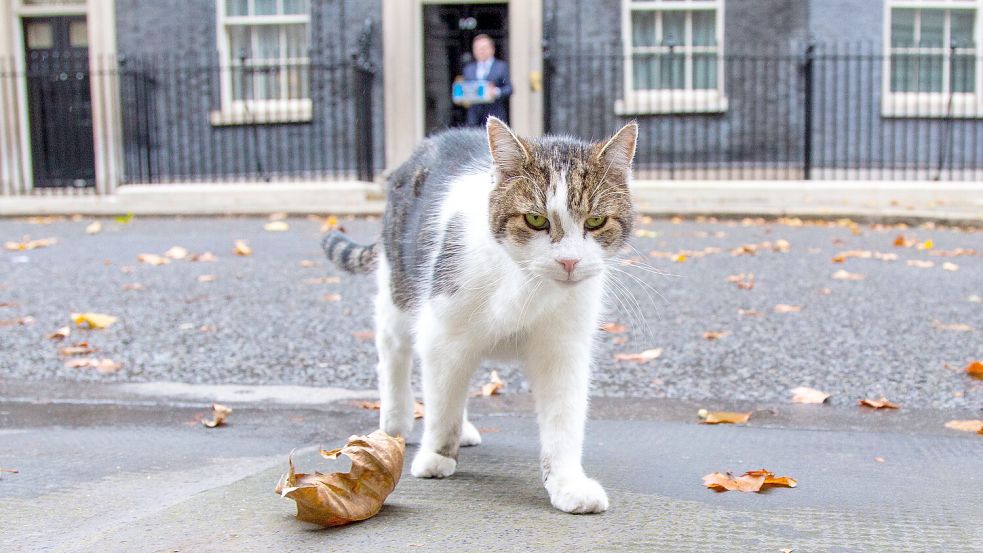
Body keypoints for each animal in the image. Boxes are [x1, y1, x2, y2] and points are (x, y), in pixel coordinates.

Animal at [322, 117, 640, 512]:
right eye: (535, 219)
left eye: (596, 221)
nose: (569, 261)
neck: (526, 286)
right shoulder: (441, 330)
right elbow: (442, 404)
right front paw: (437, 455)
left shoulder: (563, 348)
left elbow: (564, 419)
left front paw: (567, 483)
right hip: (398, 289)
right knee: (395, 356)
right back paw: (395, 423)